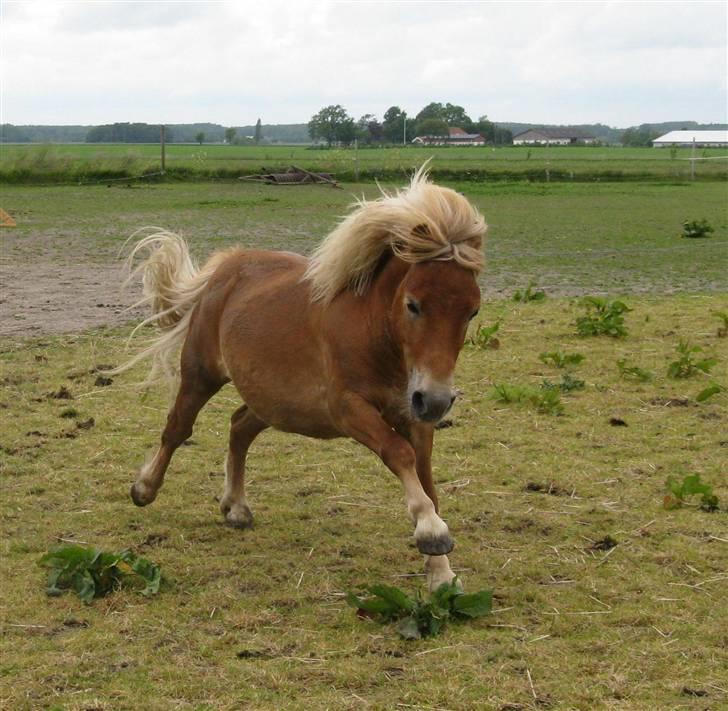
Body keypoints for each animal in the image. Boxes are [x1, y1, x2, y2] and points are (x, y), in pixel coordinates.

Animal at [119, 167, 486, 588]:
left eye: (472, 311)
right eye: (413, 304)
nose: (437, 400)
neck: (374, 333)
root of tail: (227, 267)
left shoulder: (413, 414)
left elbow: (426, 480)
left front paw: (441, 571)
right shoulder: (348, 409)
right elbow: (399, 454)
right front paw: (431, 531)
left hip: (275, 400)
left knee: (239, 427)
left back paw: (236, 507)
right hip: (201, 373)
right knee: (178, 428)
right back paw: (144, 489)